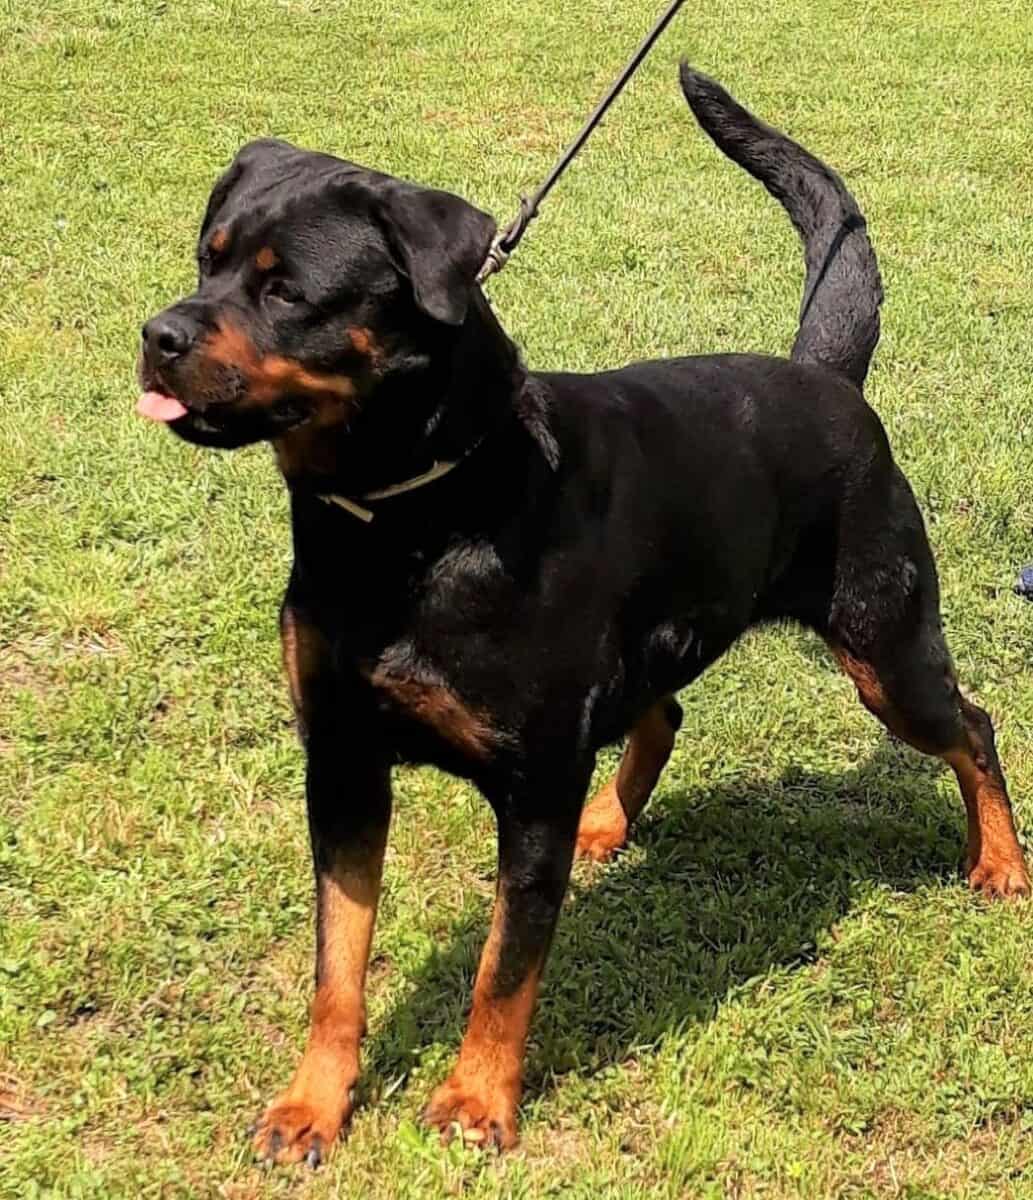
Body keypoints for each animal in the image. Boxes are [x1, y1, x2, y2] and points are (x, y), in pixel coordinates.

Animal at [134, 65, 1022, 1161]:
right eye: (206, 259)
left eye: (286, 290)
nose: (158, 335)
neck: (415, 515)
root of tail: (824, 374)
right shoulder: (341, 763)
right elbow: (336, 966)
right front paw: (312, 1104)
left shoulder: (533, 783)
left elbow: (502, 969)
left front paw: (475, 1102)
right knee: (664, 707)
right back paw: (612, 819)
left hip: (884, 642)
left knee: (970, 724)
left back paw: (1000, 863)